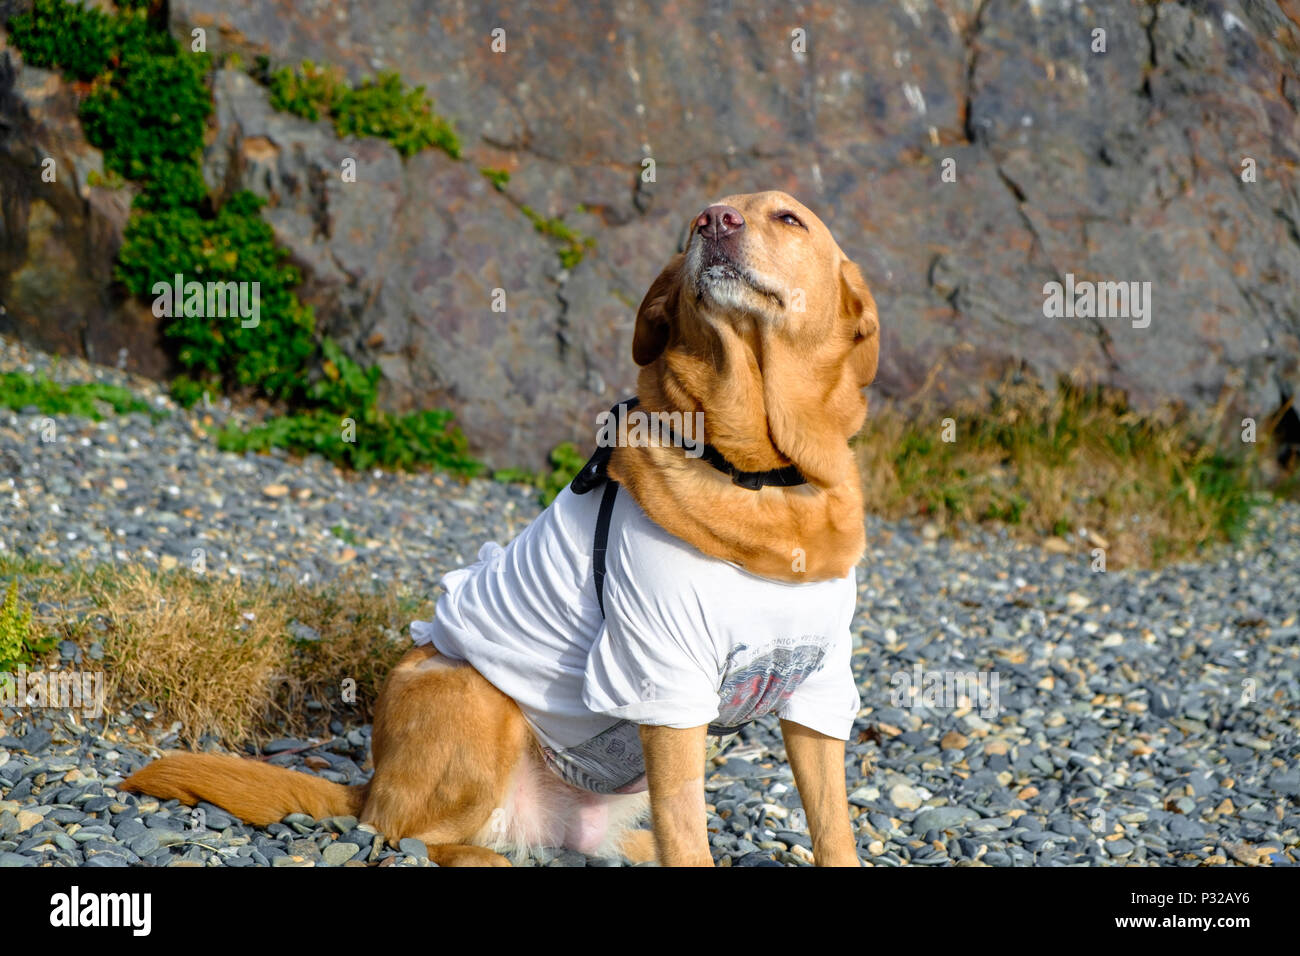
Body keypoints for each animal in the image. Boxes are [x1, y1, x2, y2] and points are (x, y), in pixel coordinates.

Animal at [119, 188, 883, 868]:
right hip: (473, 697)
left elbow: (831, 824)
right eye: (697, 218)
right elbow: (688, 832)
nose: (714, 221)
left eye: (788, 218)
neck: (764, 473)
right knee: (406, 833)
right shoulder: (663, 681)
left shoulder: (819, 689)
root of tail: (371, 779)